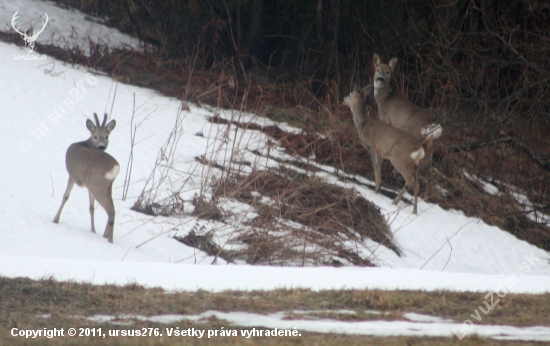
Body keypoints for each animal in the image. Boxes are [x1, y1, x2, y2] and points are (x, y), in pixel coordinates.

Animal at [53, 113, 119, 243]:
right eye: (95, 136)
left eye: (106, 136)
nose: (102, 146)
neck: (85, 143)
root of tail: (115, 166)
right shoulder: (87, 186)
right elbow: (91, 207)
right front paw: (93, 231)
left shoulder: (73, 175)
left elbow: (65, 196)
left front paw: (55, 219)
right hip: (106, 186)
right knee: (112, 209)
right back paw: (105, 235)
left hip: (96, 185)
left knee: (111, 211)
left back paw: (110, 240)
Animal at [366, 53, 444, 184]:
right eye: (377, 70)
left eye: (387, 72)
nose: (380, 79)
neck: (384, 100)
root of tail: (435, 124)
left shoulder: (386, 119)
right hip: (431, 142)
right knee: (429, 166)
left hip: (416, 134)